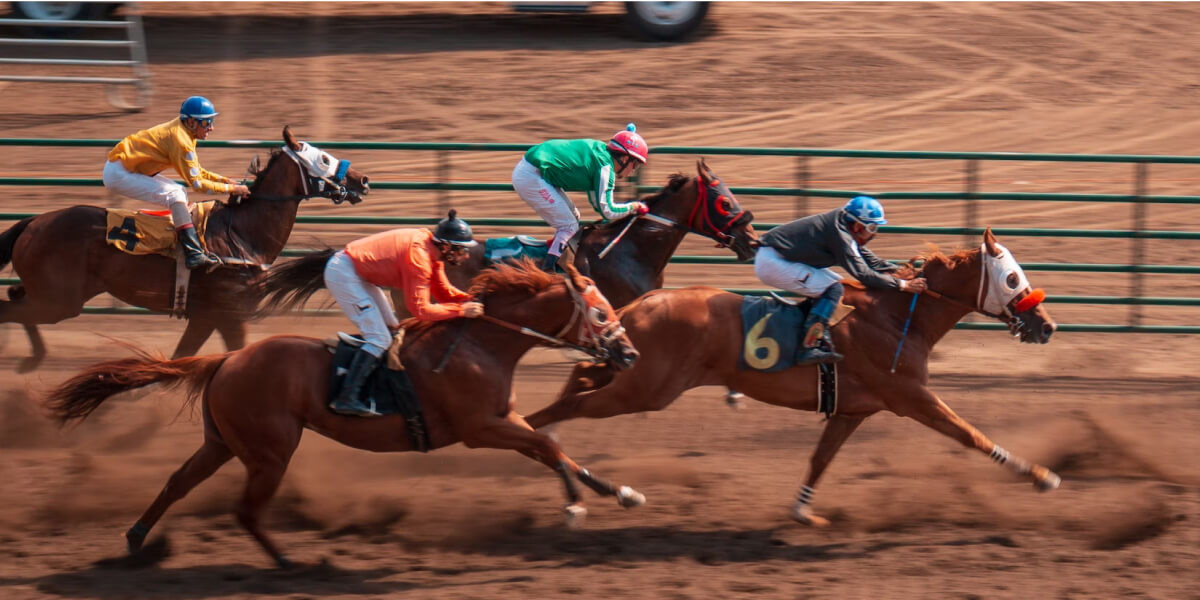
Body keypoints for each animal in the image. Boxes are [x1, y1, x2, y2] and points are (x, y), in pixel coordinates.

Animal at [0, 126, 369, 372]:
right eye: (324, 158)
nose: (362, 180)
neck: (242, 235)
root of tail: (33, 222)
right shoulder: (230, 315)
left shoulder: (206, 316)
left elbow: (181, 357)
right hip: (59, 302)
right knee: (10, 307)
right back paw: (33, 358)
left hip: (50, 296)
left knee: (16, 296)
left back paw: (31, 359)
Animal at [45, 260, 644, 569]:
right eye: (599, 312)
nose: (630, 354)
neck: (482, 345)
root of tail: (227, 359)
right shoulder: (480, 429)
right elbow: (548, 447)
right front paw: (575, 508)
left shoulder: (503, 422)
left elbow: (554, 450)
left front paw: (619, 492)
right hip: (269, 451)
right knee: (245, 510)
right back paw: (289, 563)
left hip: (222, 442)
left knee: (179, 482)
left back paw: (138, 539)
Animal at [525, 229, 1061, 527]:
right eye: (1013, 278)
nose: (1046, 325)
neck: (896, 316)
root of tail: (641, 301)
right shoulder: (910, 396)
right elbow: (969, 434)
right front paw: (1040, 475)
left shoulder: (851, 410)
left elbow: (820, 459)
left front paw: (803, 511)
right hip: (647, 389)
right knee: (572, 401)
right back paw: (541, 439)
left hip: (636, 372)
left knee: (581, 373)